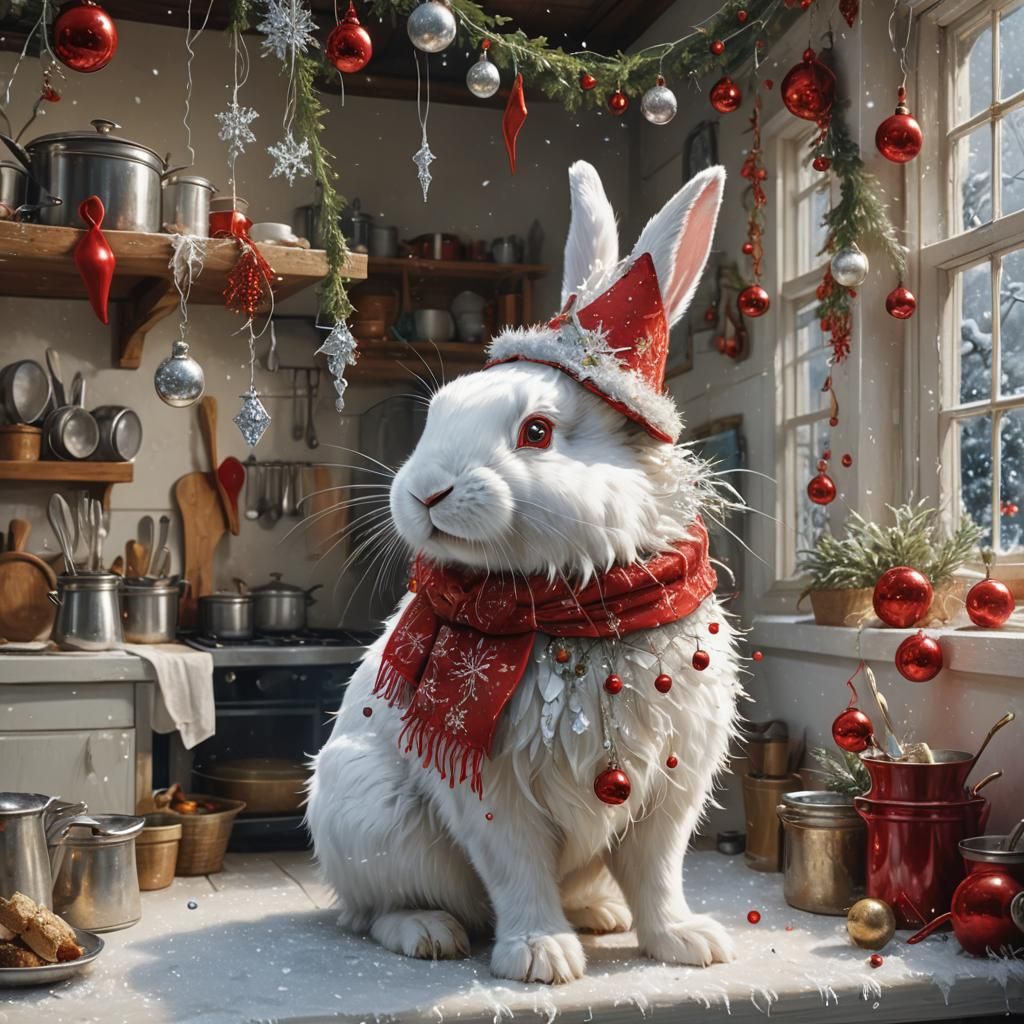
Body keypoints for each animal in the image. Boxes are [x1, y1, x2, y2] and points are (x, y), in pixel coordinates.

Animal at [306, 160, 742, 984]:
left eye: (537, 431)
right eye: (436, 410)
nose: (424, 492)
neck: (573, 606)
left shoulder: (671, 788)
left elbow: (659, 872)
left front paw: (687, 944)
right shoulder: (489, 795)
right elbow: (516, 870)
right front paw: (541, 956)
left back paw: (601, 915)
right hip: (366, 815)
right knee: (369, 914)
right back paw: (429, 932)